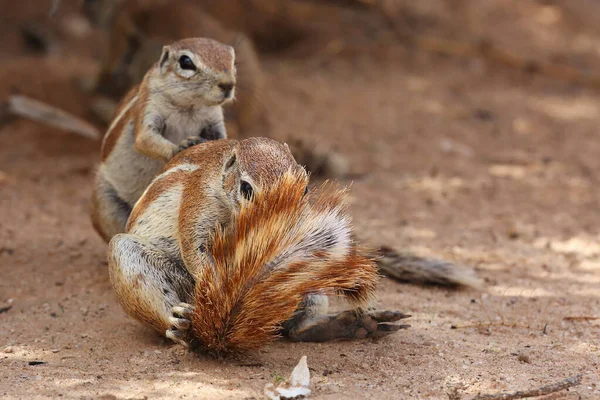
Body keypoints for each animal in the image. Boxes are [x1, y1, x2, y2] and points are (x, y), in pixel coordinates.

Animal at [91, 37, 237, 242]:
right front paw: (183, 146)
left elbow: (221, 137)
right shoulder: (149, 105)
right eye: (186, 62)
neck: (190, 106)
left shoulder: (214, 120)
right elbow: (145, 138)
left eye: (232, 60)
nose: (228, 84)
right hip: (107, 203)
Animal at [106, 138, 408, 354]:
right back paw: (179, 323)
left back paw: (348, 325)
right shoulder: (199, 200)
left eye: (306, 187)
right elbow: (196, 249)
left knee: (297, 329)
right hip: (132, 258)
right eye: (246, 188)